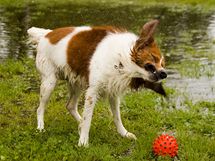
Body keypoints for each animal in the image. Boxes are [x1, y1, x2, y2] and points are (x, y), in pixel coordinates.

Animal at [27, 19, 167, 147]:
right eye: (154, 58)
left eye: (163, 64)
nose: (164, 74)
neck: (122, 61)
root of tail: (47, 34)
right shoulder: (92, 92)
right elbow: (88, 118)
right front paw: (83, 141)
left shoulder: (113, 93)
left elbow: (117, 117)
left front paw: (124, 133)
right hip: (49, 82)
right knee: (40, 108)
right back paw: (41, 127)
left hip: (77, 83)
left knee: (70, 106)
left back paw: (79, 124)